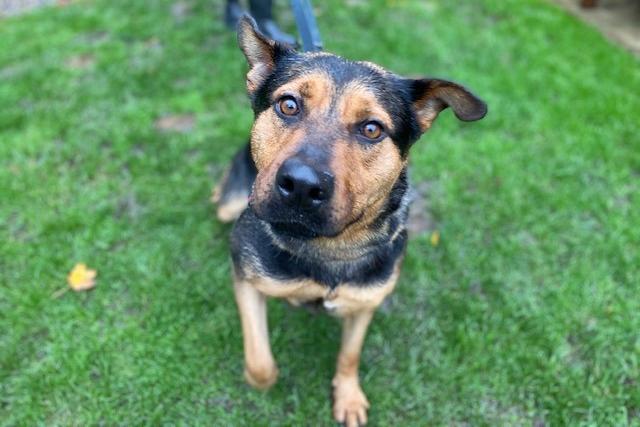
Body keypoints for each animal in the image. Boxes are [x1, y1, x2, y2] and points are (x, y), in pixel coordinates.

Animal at [212, 15, 488, 426]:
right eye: (288, 105)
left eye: (372, 129)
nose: (301, 186)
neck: (328, 246)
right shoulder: (246, 277)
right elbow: (262, 366)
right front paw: (260, 376)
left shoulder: (365, 302)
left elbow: (350, 355)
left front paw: (349, 397)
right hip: (231, 204)